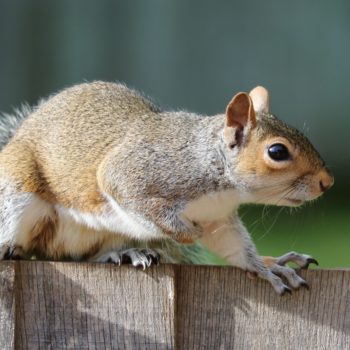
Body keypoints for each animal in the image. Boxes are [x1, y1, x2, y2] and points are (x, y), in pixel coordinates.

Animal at [0, 81, 334, 292]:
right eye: (277, 151)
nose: (327, 182)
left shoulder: (217, 218)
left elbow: (234, 247)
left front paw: (266, 266)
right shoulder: (133, 174)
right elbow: (138, 203)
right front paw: (186, 232)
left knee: (74, 256)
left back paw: (125, 253)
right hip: (17, 190)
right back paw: (10, 249)